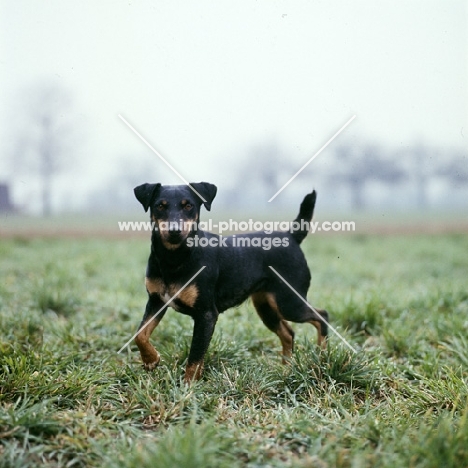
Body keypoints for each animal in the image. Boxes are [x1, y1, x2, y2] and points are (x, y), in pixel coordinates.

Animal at [133, 181, 330, 382]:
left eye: (188, 206)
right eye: (160, 206)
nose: (174, 230)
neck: (174, 258)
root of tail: (291, 236)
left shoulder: (206, 314)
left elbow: (195, 357)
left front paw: (188, 386)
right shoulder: (156, 301)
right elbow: (140, 335)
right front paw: (151, 360)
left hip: (289, 302)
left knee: (322, 317)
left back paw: (321, 358)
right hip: (266, 307)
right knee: (289, 334)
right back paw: (286, 370)